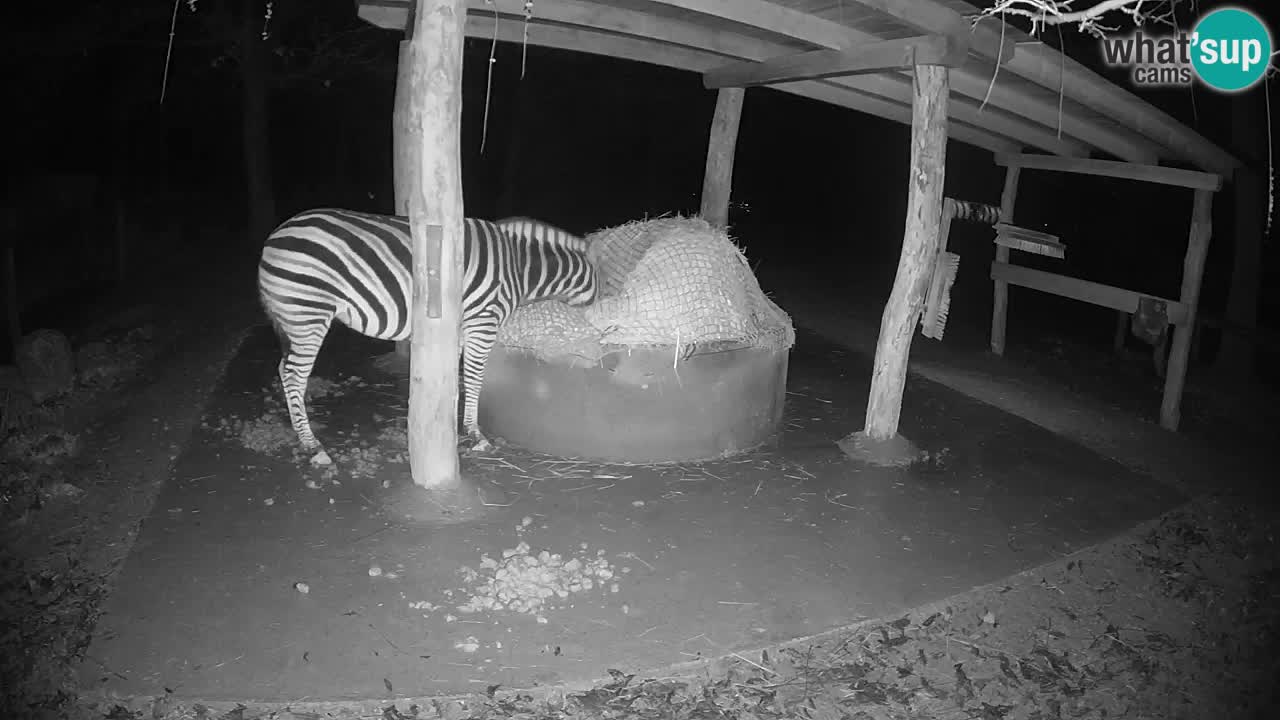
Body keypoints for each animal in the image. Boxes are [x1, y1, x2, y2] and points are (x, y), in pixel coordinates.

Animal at [257, 208, 597, 465]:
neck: (520, 267)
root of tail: (275, 236)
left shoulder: (460, 329)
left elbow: (457, 377)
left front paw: (454, 422)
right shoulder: (483, 323)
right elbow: (475, 378)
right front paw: (475, 433)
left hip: (293, 320)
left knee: (283, 370)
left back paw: (301, 430)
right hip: (308, 313)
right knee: (294, 375)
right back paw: (311, 444)